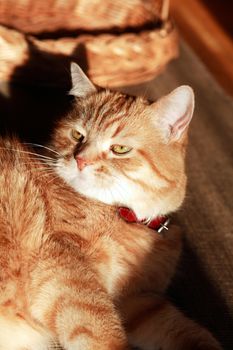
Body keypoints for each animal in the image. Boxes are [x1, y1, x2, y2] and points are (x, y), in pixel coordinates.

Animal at [0, 64, 222, 348]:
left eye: (120, 149)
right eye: (77, 135)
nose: (80, 160)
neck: (127, 218)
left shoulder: (140, 302)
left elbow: (188, 331)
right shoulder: (62, 266)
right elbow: (102, 330)